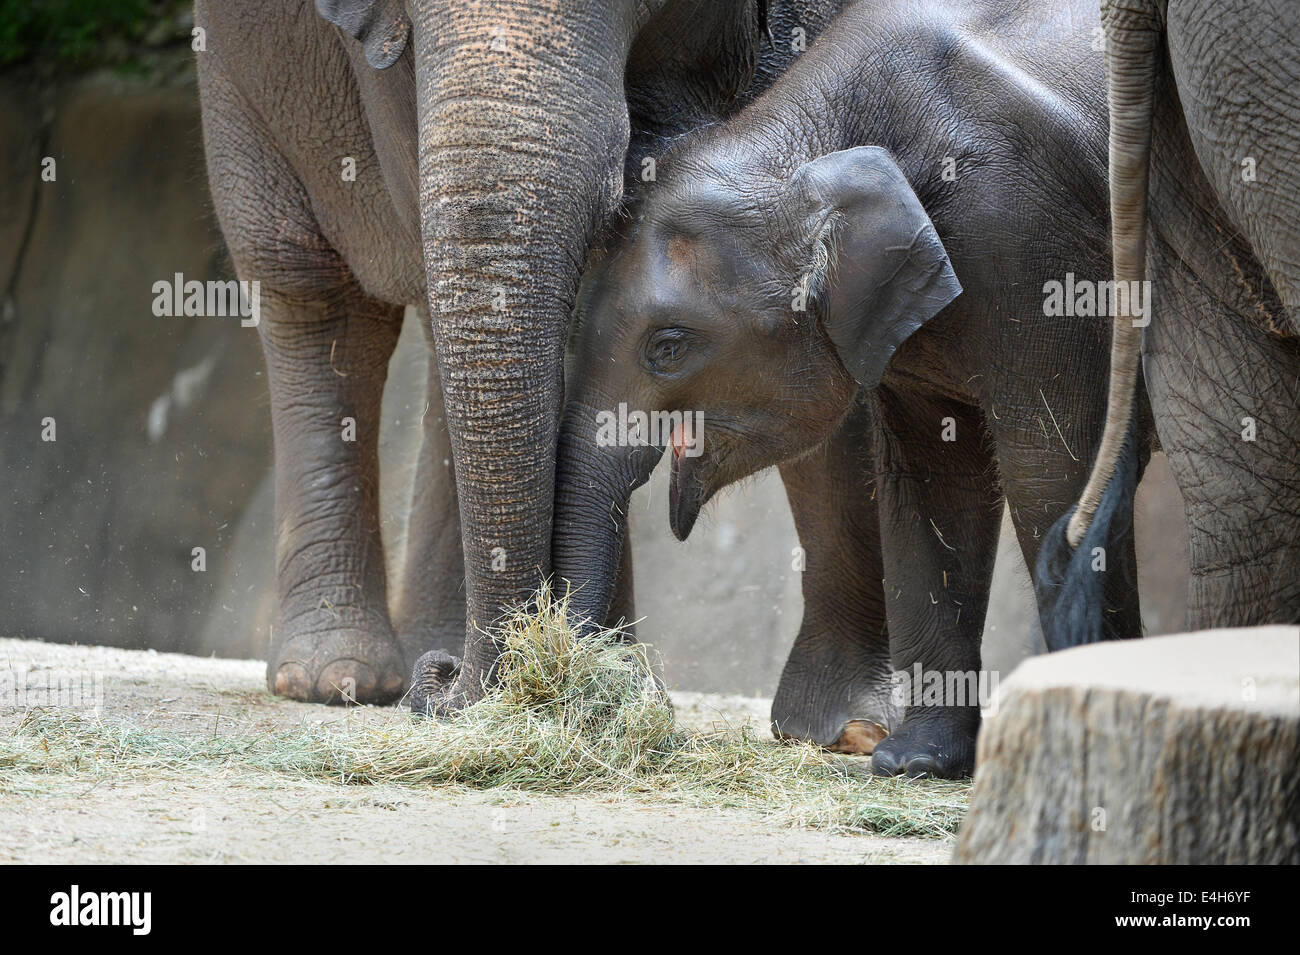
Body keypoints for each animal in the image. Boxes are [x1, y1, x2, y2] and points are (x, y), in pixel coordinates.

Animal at [548, 0, 1149, 779]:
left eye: (668, 348)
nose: (600, 682)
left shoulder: (1035, 243)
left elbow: (1053, 464)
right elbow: (932, 479)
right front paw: (914, 761)